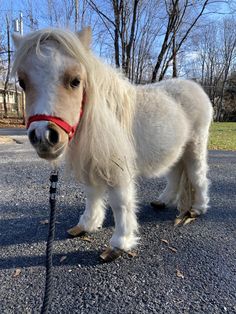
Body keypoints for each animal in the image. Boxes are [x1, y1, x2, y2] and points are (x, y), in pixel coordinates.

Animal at [12, 27, 213, 262]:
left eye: (75, 80)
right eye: (22, 82)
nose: (44, 136)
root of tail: (196, 87)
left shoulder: (118, 169)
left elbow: (120, 203)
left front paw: (119, 243)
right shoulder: (92, 162)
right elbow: (92, 194)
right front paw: (86, 225)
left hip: (194, 148)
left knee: (198, 176)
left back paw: (198, 208)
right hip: (176, 151)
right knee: (174, 174)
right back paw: (162, 201)